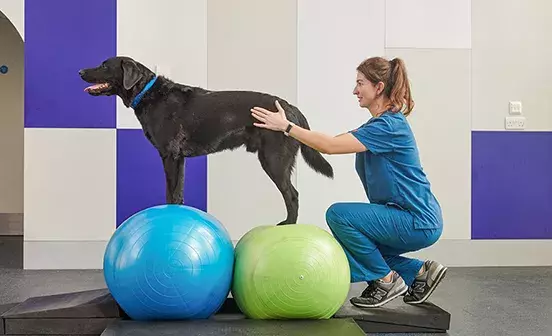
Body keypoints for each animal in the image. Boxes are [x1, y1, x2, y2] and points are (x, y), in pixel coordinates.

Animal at [80, 57, 334, 226]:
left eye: (104, 66)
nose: (81, 71)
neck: (148, 95)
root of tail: (290, 107)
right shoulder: (179, 159)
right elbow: (177, 193)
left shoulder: (170, 155)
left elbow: (171, 193)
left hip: (273, 160)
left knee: (292, 195)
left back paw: (288, 225)